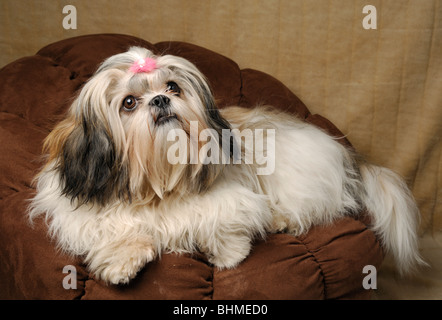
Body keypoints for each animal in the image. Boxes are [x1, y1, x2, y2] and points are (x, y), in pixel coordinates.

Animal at [28, 46, 424, 284]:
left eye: (173, 87)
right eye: (128, 102)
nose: (160, 100)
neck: (159, 184)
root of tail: (340, 150)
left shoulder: (232, 198)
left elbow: (221, 216)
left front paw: (228, 255)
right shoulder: (83, 211)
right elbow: (115, 227)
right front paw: (121, 261)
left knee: (318, 206)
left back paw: (280, 219)